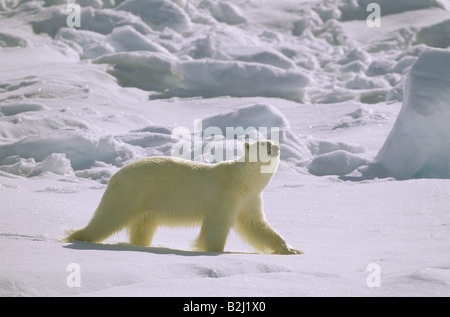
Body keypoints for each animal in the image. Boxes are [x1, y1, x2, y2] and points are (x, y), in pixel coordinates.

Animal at [64, 139, 302, 253]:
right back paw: (76, 237)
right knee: (109, 217)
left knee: (142, 227)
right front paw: (214, 251)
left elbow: (256, 225)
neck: (242, 181)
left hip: (144, 202)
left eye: (273, 142)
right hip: (132, 191)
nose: (273, 147)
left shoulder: (248, 199)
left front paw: (290, 249)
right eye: (262, 144)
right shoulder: (224, 195)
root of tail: (116, 174)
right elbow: (216, 225)